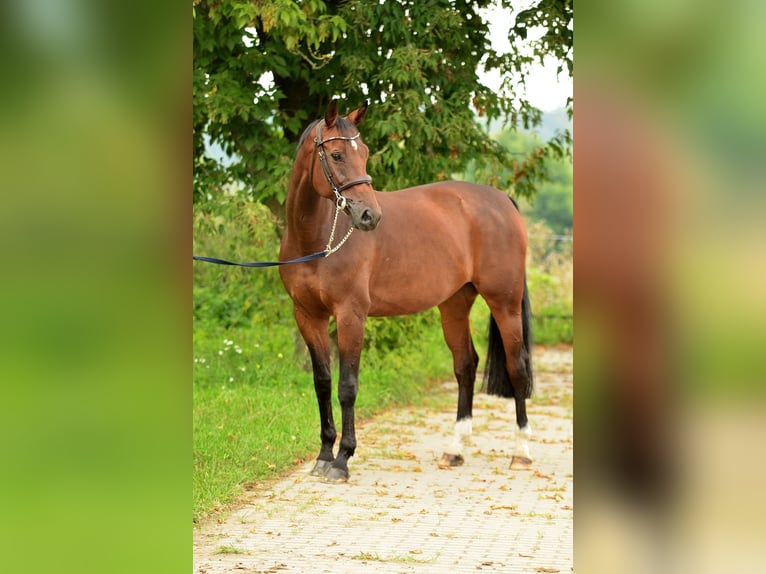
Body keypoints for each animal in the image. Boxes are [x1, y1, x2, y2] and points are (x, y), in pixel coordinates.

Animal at [278, 99, 534, 482]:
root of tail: (502, 200)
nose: (369, 216)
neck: (319, 237)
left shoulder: (351, 315)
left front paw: (342, 460)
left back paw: (521, 453)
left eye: (365, 152)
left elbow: (347, 386)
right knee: (465, 366)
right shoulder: (308, 316)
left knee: (517, 367)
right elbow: (322, 383)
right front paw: (323, 456)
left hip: (504, 303)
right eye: (337, 154)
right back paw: (454, 451)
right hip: (454, 304)